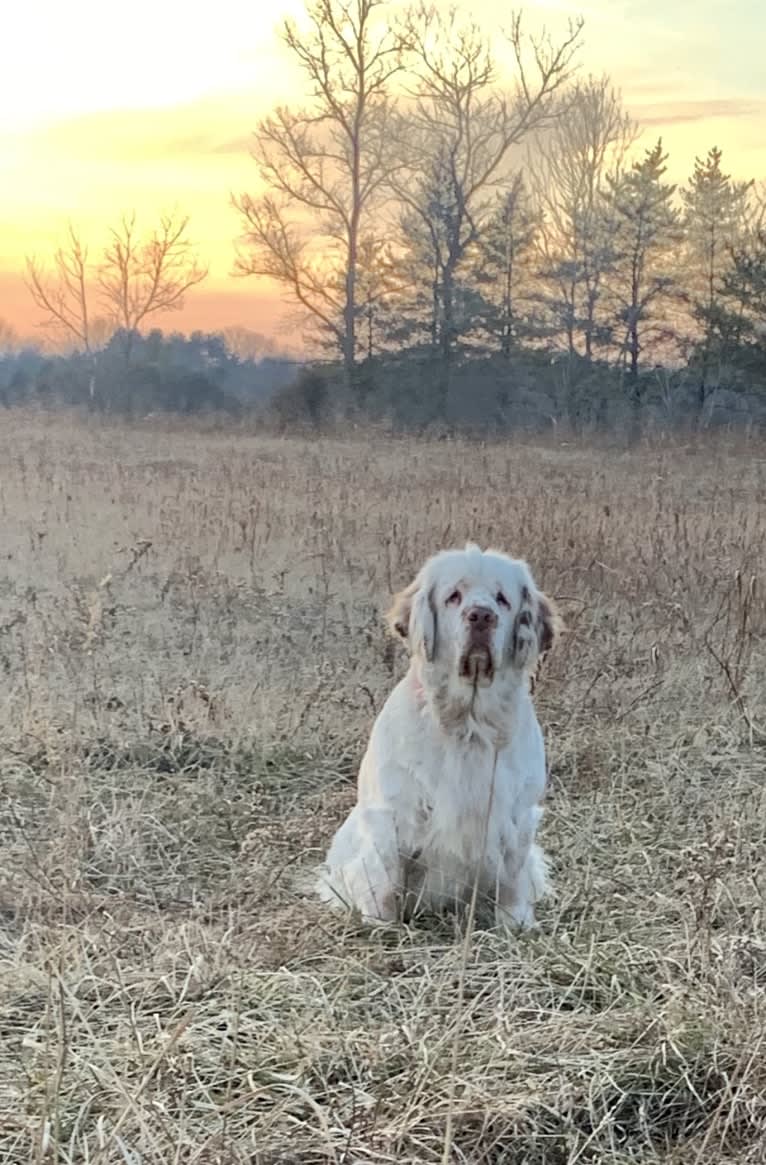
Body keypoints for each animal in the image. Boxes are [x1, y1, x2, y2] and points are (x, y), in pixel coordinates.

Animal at [314, 540, 558, 932]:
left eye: (502, 599)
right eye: (453, 596)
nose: (481, 616)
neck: (467, 722)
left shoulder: (518, 814)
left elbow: (511, 878)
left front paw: (515, 924)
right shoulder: (395, 810)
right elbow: (387, 877)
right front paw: (382, 926)